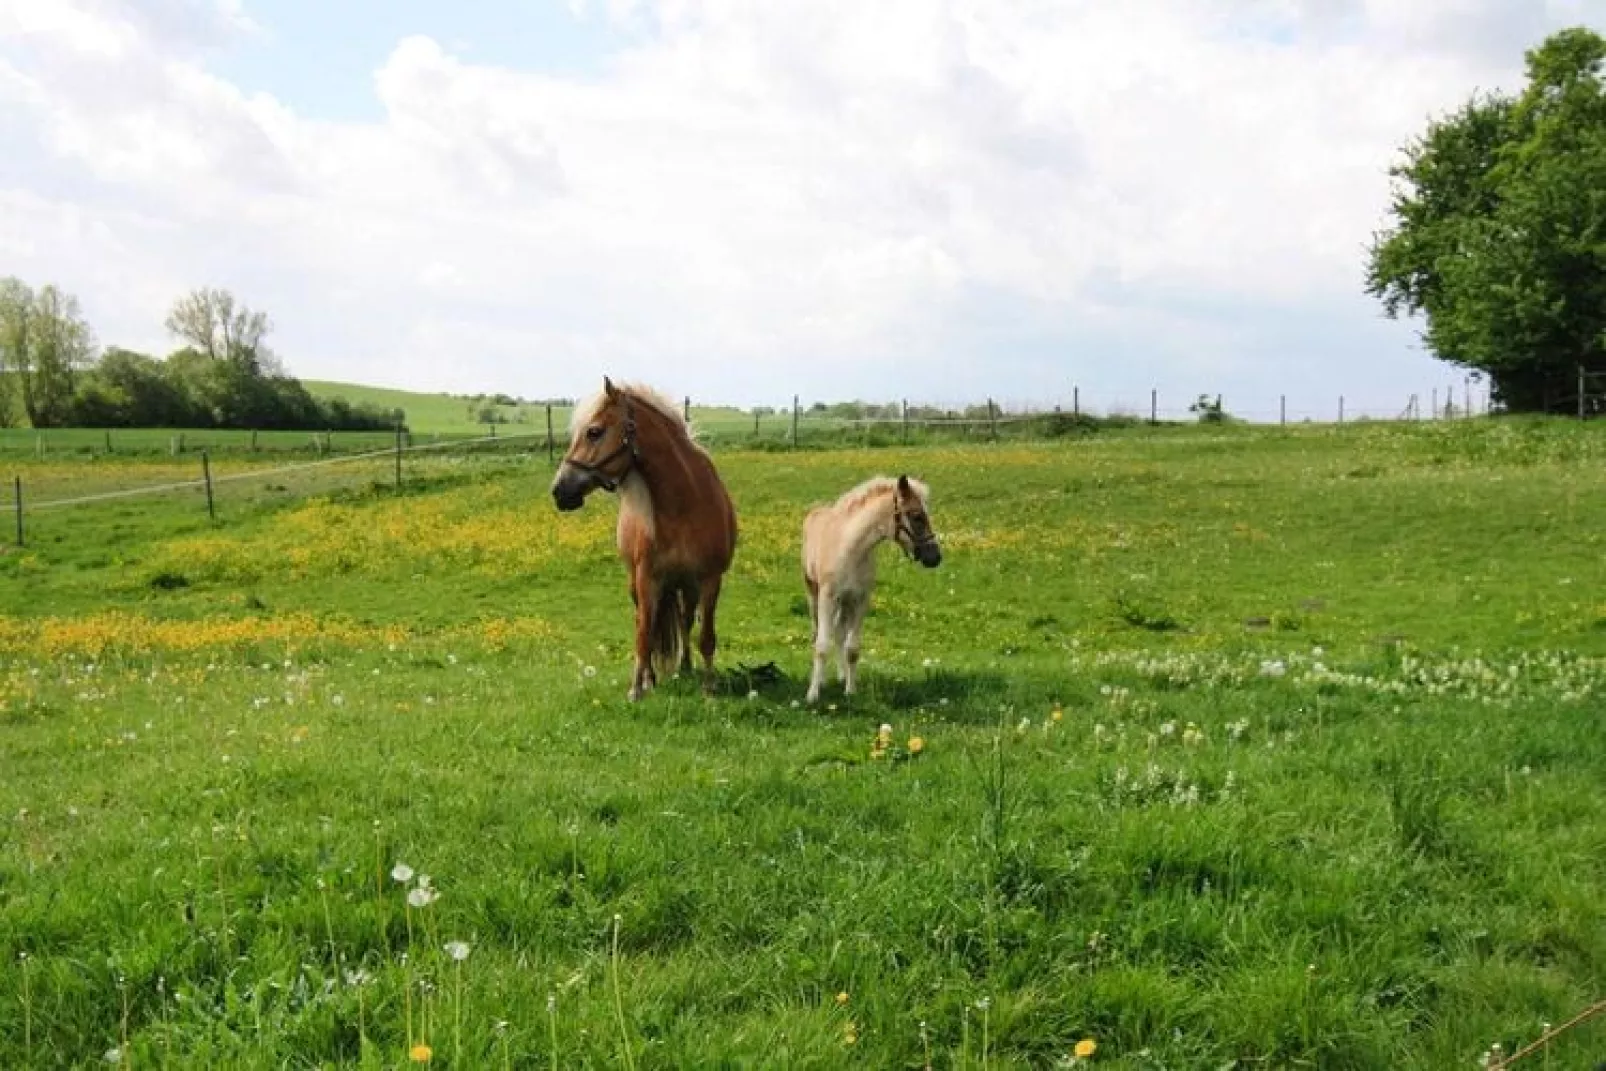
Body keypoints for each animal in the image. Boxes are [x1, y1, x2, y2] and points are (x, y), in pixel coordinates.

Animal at [546, 378, 735, 703]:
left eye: (594, 431)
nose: (559, 490)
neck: (684, 505)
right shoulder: (648, 578)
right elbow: (644, 633)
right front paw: (637, 687)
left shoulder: (710, 580)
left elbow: (706, 636)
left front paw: (709, 687)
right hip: (636, 581)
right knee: (645, 620)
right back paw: (651, 677)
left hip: (687, 586)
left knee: (685, 620)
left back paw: (684, 667)